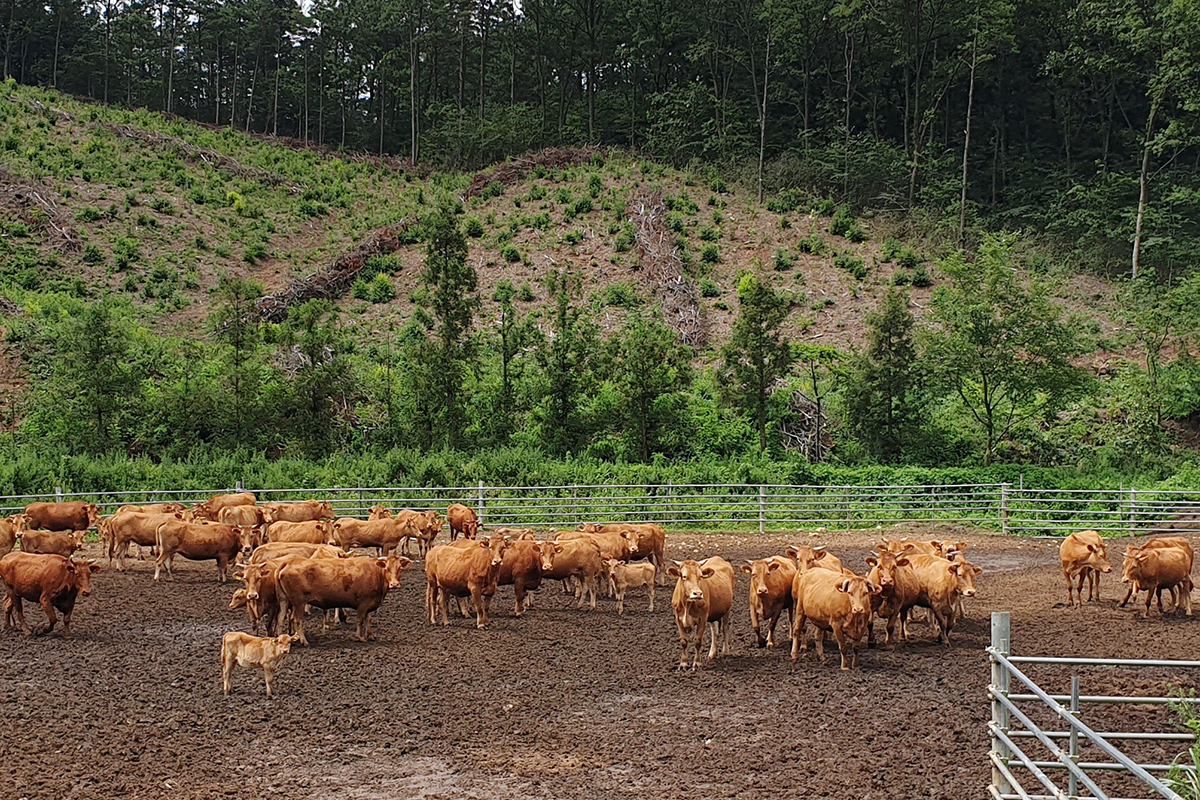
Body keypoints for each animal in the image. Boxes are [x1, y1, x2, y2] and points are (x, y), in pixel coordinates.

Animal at [276, 555, 413, 645]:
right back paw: (304, 641)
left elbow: (368, 620)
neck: (375, 573)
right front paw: (359, 637)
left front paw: (370, 635)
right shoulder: (364, 603)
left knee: (281, 618)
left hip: (284, 600)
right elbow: (360, 620)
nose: (394, 584)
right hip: (299, 602)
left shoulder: (370, 604)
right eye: (387, 569)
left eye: (400, 569)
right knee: (296, 619)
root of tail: (289, 561)